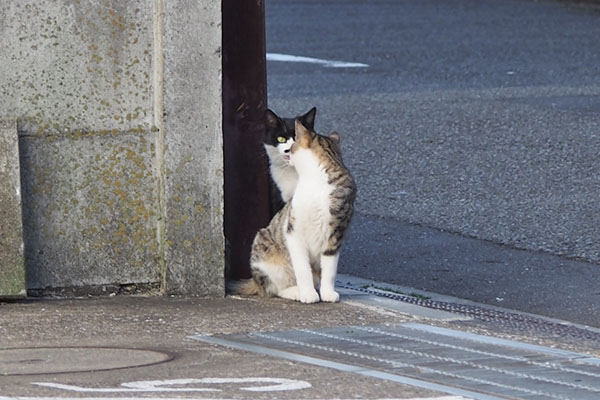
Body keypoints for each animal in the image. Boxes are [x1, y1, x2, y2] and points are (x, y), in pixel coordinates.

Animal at [230, 119, 356, 304]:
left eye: (294, 143)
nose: (288, 151)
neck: (316, 180)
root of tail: (255, 282)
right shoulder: (294, 231)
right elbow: (303, 269)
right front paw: (308, 294)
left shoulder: (336, 232)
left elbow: (330, 269)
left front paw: (327, 293)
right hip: (266, 256)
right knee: (274, 289)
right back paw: (295, 291)